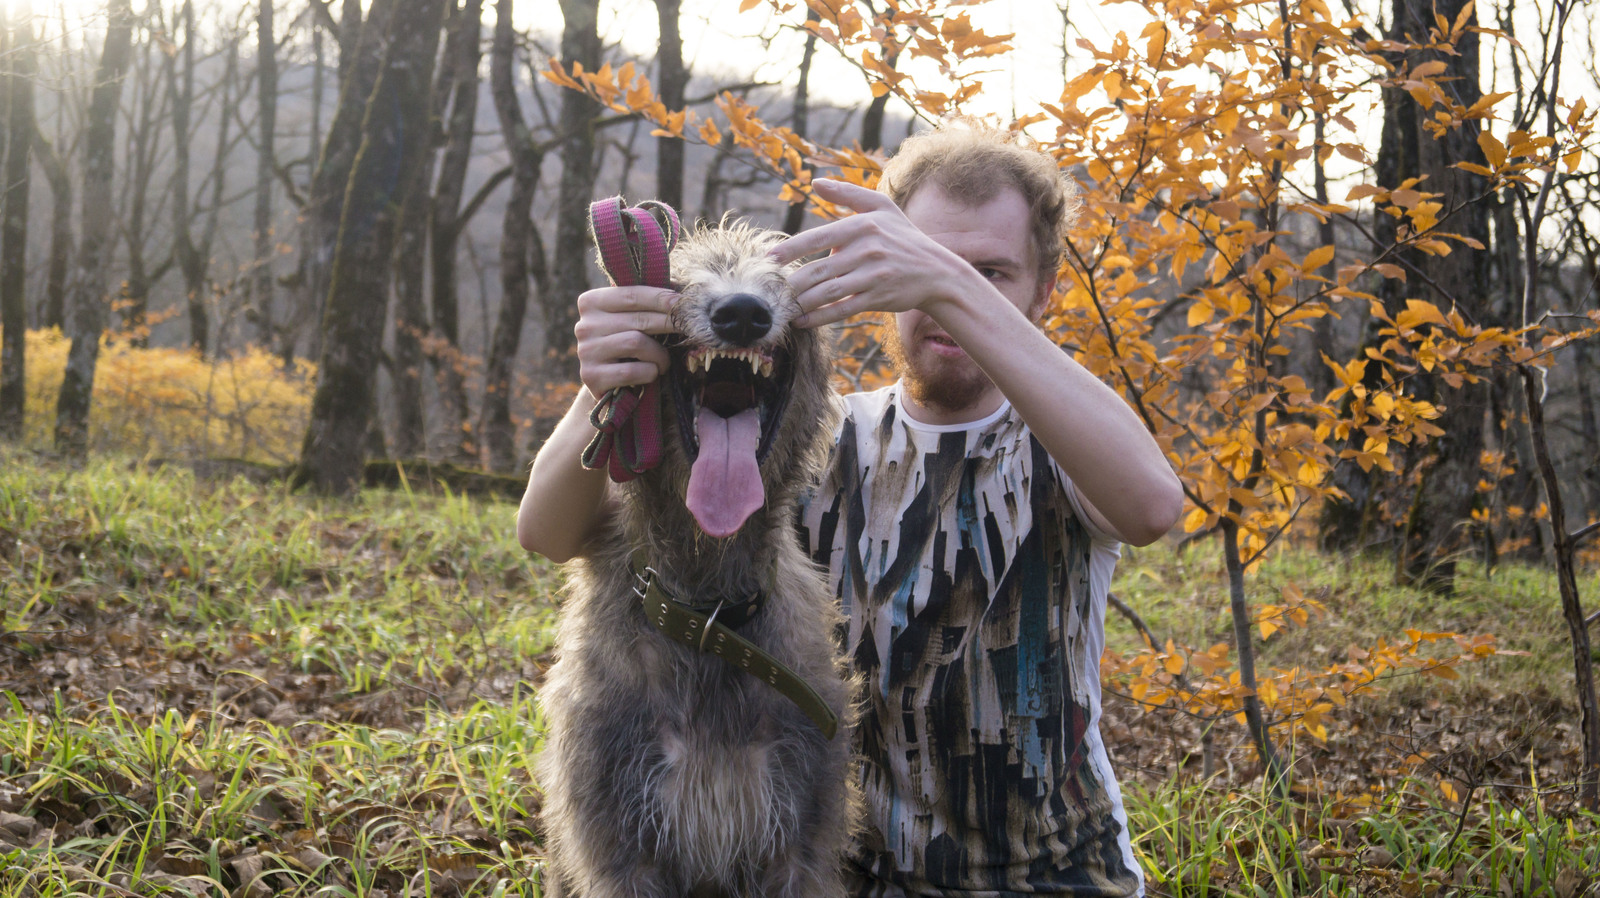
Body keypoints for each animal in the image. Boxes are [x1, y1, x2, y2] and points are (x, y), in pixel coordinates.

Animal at [534, 220, 864, 889]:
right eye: (679, 274)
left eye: (783, 271)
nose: (741, 313)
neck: (708, 615)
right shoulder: (619, 849)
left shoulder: (802, 845)